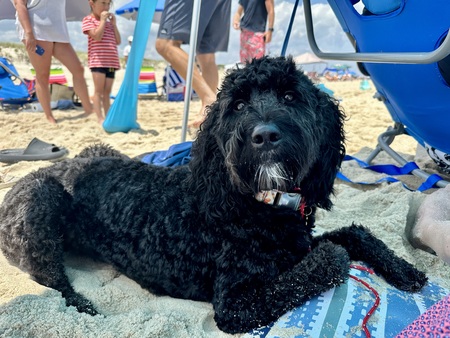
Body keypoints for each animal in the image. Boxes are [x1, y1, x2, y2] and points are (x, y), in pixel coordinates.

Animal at [0, 56, 426, 334]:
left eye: (291, 97)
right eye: (237, 105)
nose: (264, 135)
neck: (260, 207)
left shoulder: (298, 244)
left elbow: (353, 233)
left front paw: (406, 271)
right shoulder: (236, 306)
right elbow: (330, 257)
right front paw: (339, 257)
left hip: (100, 151)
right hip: (39, 202)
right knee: (53, 279)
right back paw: (82, 306)